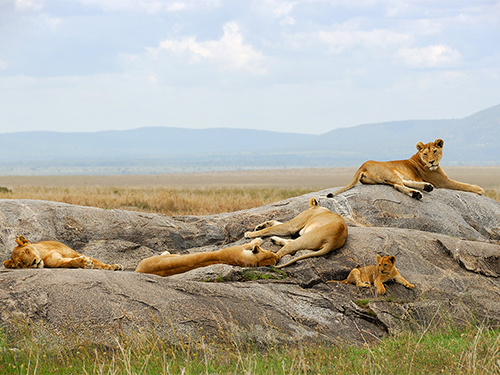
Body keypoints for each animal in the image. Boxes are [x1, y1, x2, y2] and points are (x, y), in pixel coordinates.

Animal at [135, 239, 280, 278]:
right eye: (271, 252)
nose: (278, 256)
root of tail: (138, 270)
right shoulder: (236, 248)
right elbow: (249, 243)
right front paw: (258, 239)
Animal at [328, 138, 484, 201]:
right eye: (425, 154)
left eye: (435, 151)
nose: (431, 162)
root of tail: (362, 166)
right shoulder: (443, 182)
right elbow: (462, 185)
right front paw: (479, 189)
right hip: (390, 172)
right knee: (398, 185)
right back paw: (417, 194)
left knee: (403, 183)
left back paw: (426, 187)